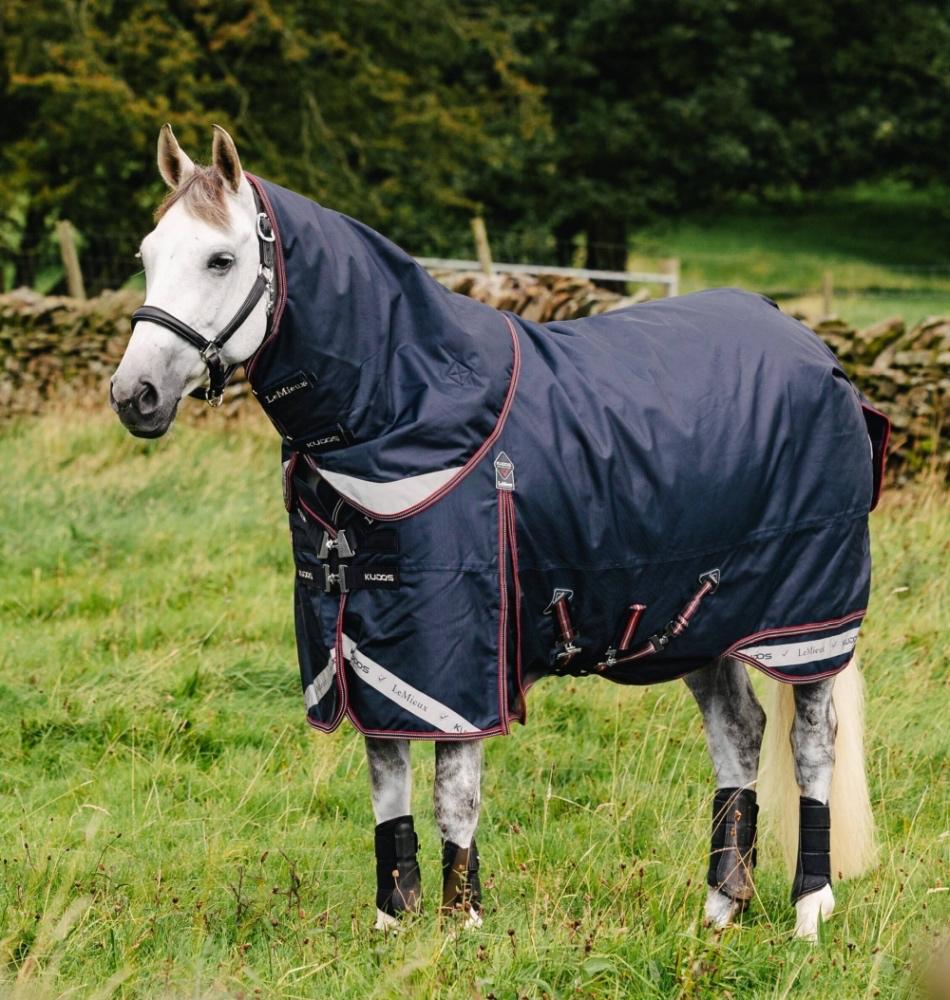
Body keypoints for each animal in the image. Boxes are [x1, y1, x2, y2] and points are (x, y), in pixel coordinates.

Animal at [111, 125, 887, 939]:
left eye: (220, 259)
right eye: (147, 254)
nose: (134, 396)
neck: (405, 404)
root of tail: (814, 348)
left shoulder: (453, 663)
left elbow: (455, 794)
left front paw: (462, 926)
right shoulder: (366, 652)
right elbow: (388, 787)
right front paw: (393, 925)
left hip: (807, 623)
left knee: (811, 746)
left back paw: (809, 909)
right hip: (697, 620)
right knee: (738, 733)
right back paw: (717, 910)